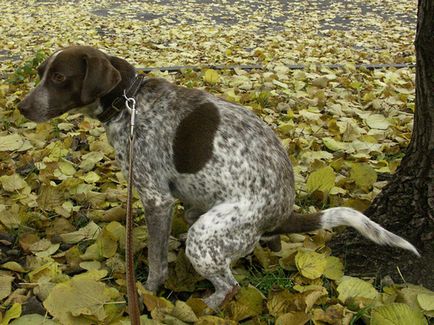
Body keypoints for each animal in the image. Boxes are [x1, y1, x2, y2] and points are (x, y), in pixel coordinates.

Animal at [17, 45, 420, 306]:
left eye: (59, 77)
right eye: (40, 74)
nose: (21, 107)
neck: (129, 101)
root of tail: (282, 212)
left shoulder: (156, 199)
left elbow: (158, 263)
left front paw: (147, 295)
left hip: (206, 237)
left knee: (230, 285)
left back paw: (205, 306)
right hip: (202, 211)